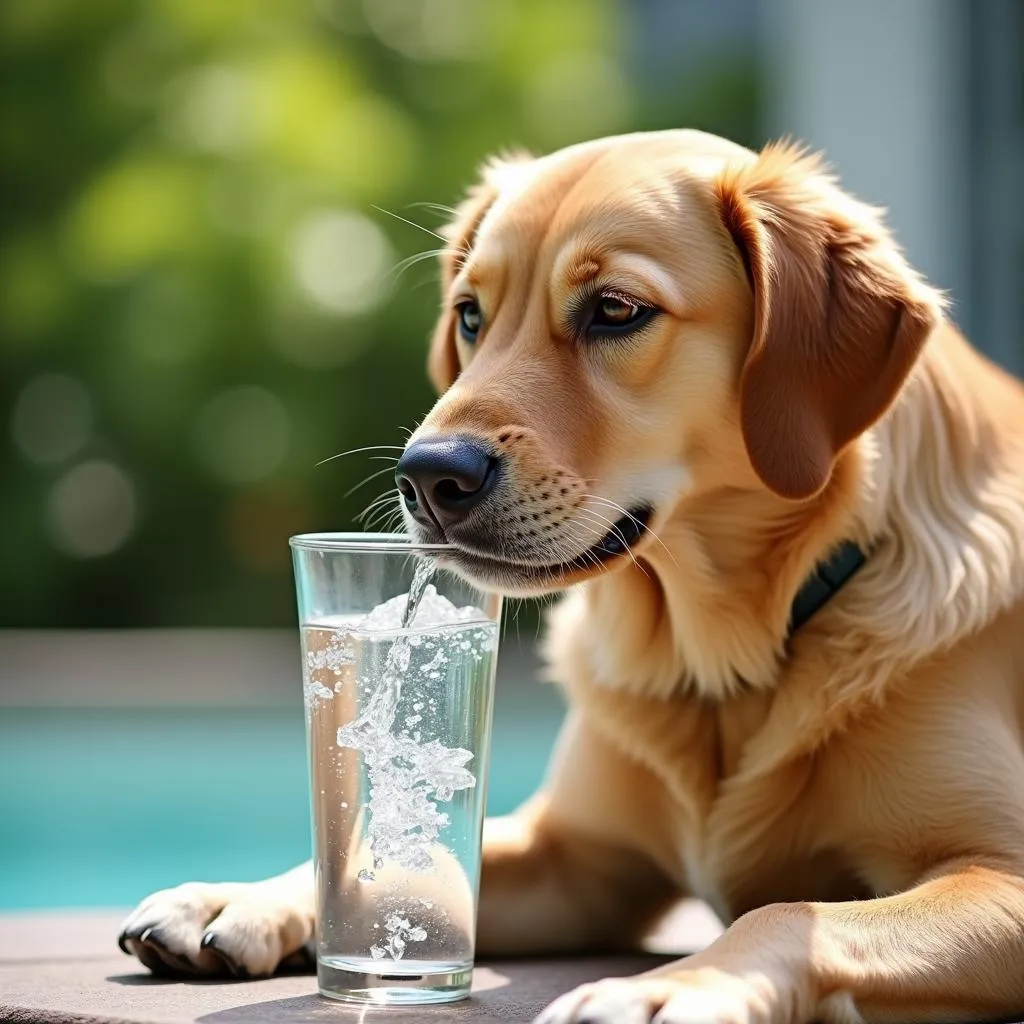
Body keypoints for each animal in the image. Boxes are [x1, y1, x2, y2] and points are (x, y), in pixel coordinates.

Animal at [116, 132, 1024, 1024]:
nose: (427, 476)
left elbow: (790, 913)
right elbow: (392, 858)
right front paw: (241, 898)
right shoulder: (580, 859)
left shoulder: (999, 869)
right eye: (470, 315)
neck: (724, 657)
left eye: (616, 310)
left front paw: (668, 988)